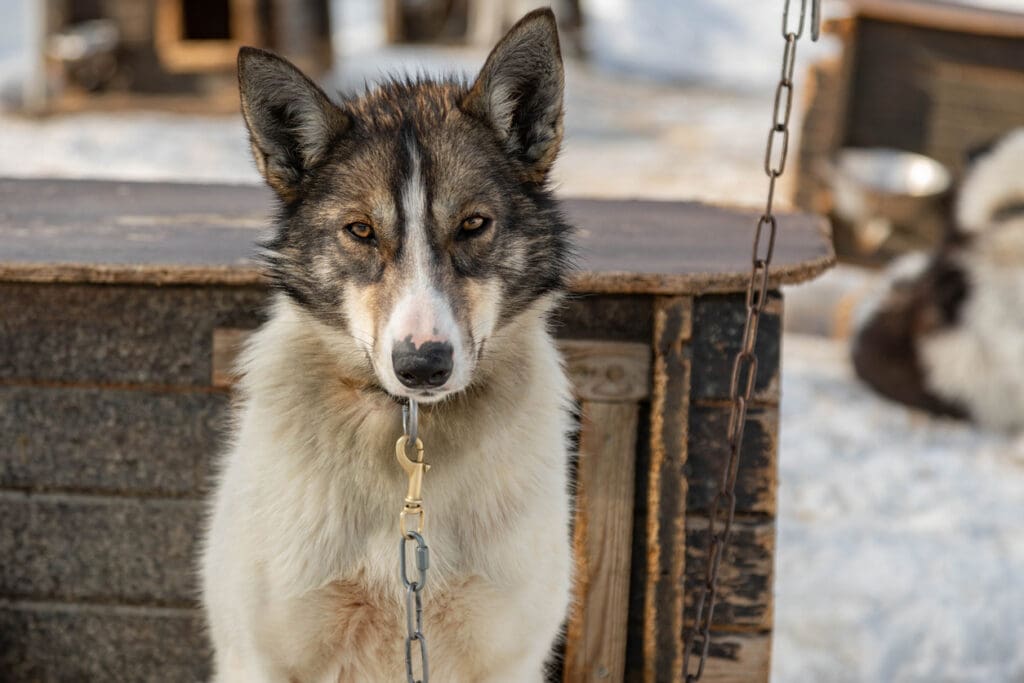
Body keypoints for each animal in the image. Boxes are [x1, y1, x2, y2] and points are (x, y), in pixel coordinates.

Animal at [203, 10, 581, 683]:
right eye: (360, 231)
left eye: (473, 225)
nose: (422, 365)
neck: (407, 430)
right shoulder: (265, 655)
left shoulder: (506, 655)